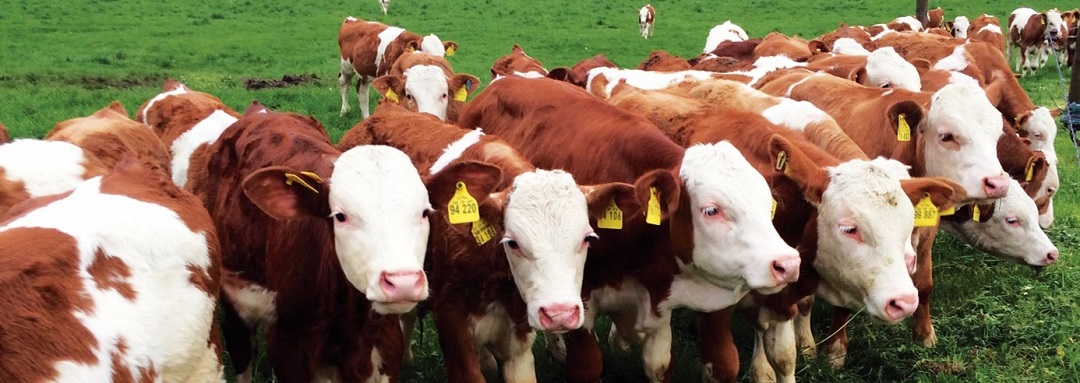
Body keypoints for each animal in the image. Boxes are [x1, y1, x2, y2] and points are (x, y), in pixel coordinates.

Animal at [204, 103, 457, 381]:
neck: (352, 324)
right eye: (340, 216)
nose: (403, 283)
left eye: (425, 212)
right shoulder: (287, 347)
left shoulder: (387, 345)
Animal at [460, 78, 799, 383]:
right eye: (711, 210)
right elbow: (586, 366)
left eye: (767, 203)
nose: (787, 263)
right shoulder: (580, 302)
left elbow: (688, 366)